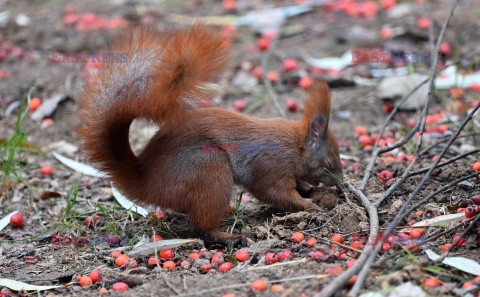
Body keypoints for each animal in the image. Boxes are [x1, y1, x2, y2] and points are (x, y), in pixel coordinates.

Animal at [78, 24, 342, 242]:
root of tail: (144, 181)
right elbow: (275, 193)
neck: (295, 146)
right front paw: (311, 207)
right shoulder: (271, 168)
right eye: (328, 164)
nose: (341, 186)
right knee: (202, 225)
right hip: (209, 169)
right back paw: (226, 237)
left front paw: (311, 191)